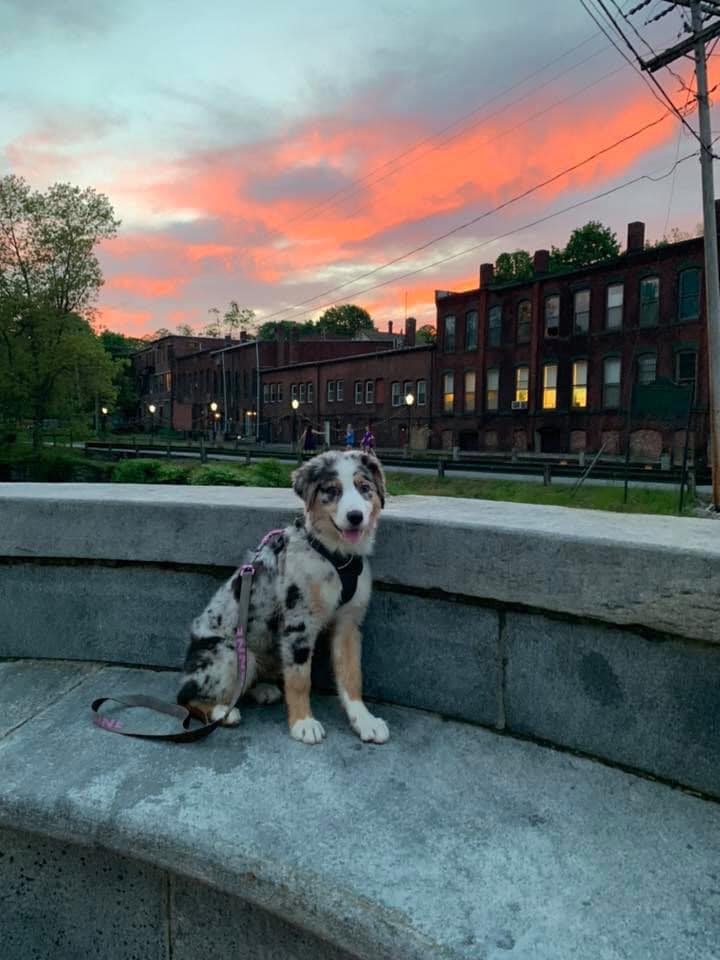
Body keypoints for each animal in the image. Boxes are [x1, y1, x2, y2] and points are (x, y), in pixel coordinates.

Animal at [176, 446, 388, 748]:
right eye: (332, 490)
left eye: (364, 488)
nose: (355, 516)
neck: (335, 554)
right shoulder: (298, 622)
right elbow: (299, 679)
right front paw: (303, 723)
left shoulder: (349, 624)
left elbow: (351, 676)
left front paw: (365, 721)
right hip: (231, 653)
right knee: (186, 697)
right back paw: (222, 712)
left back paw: (263, 690)